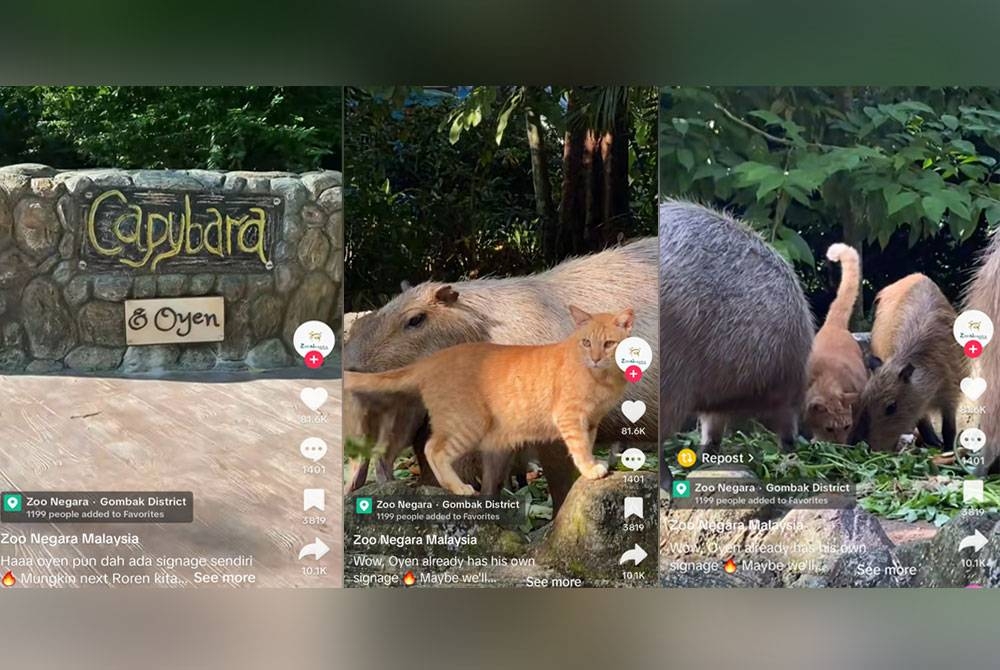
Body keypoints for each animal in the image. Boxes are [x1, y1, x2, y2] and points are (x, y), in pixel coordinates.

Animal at [346, 308, 632, 496]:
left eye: (609, 343)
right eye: (586, 342)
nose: (595, 358)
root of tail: (433, 359)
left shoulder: (591, 421)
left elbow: (587, 446)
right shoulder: (570, 418)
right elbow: (579, 448)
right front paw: (591, 469)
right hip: (466, 424)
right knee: (431, 450)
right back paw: (459, 488)